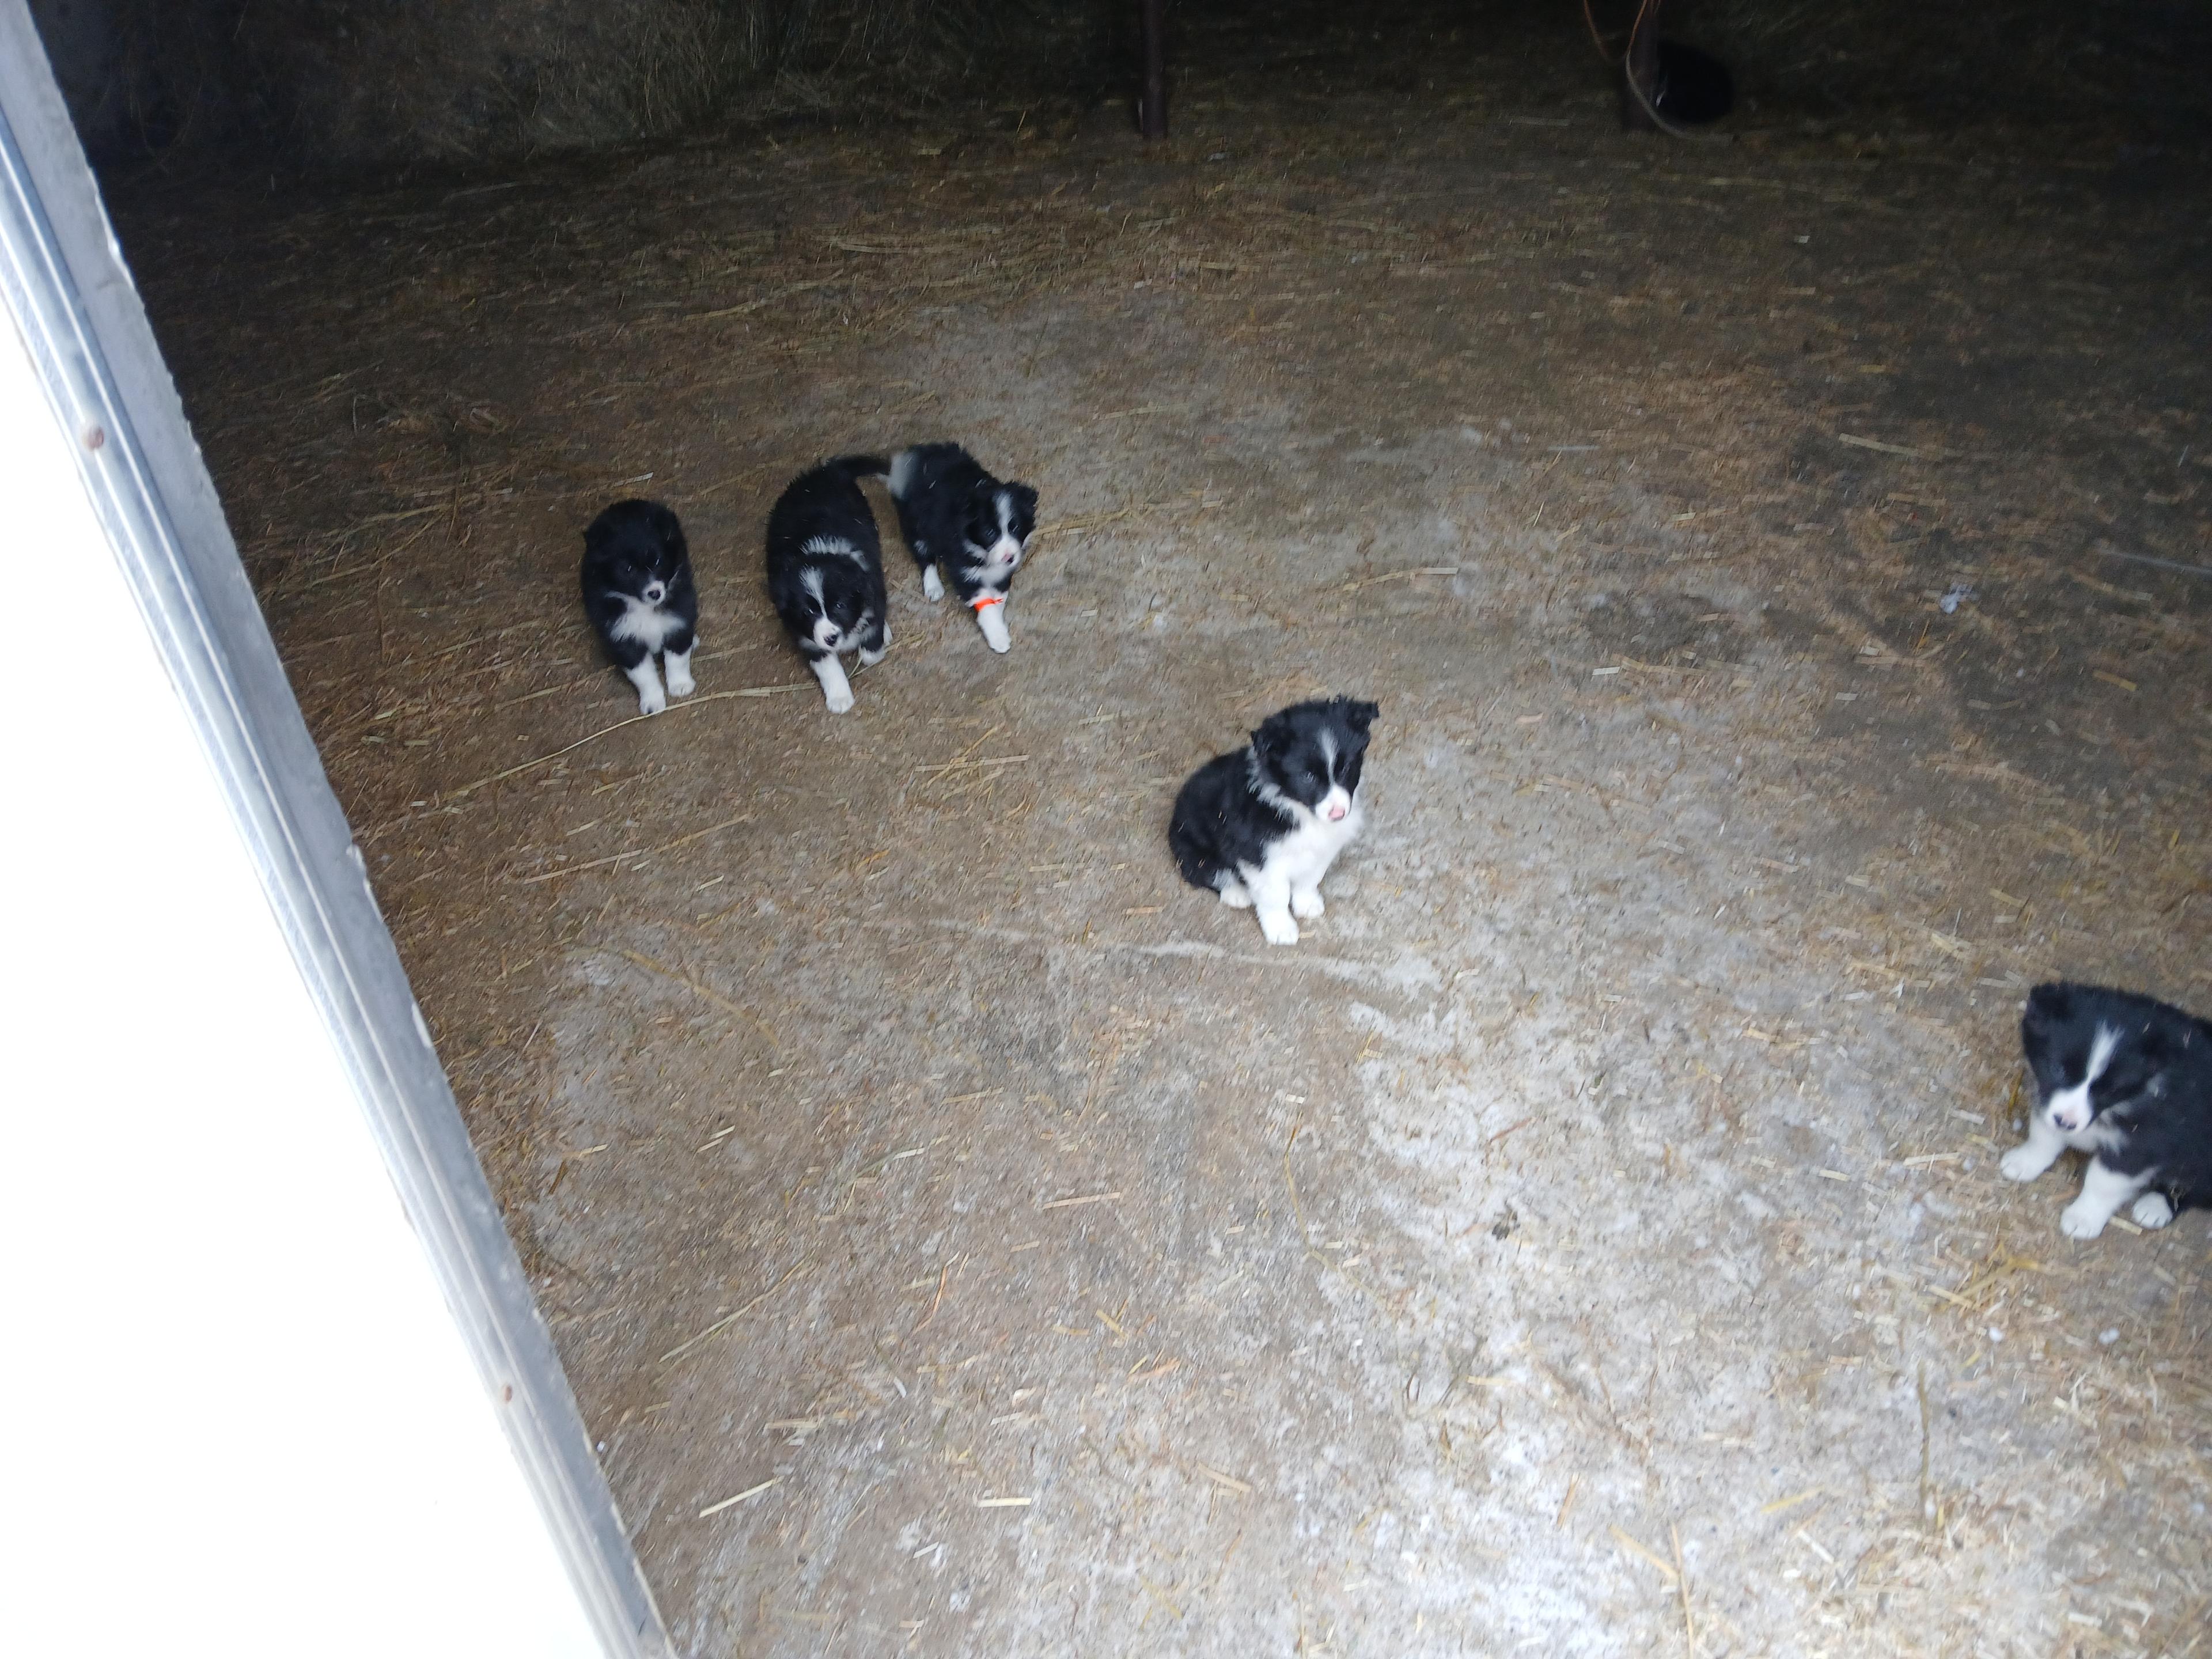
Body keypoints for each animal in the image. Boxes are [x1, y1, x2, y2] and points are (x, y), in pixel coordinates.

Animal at [579, 504, 699, 717]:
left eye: (658, 561)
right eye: (628, 569)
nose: (655, 593)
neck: (644, 608)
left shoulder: (678, 619)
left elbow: (677, 659)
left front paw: (681, 685)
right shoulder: (623, 638)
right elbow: (643, 674)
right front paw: (653, 702)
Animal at [765, 456, 893, 717]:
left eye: (841, 605)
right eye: (807, 611)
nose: (832, 639)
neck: (819, 549)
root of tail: (822, 472)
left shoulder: (874, 587)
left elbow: (871, 642)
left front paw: (873, 646)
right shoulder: (806, 635)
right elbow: (827, 666)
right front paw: (840, 697)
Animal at [880, 442, 1035, 654]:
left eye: (1016, 528)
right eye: (989, 533)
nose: (1009, 558)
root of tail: (919, 451)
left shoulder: (1003, 573)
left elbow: (998, 598)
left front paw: (999, 625)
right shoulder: (964, 570)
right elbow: (985, 602)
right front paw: (997, 636)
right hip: (914, 525)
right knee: (924, 556)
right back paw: (933, 586)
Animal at [1168, 699, 1371, 946]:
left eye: (1346, 768)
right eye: (1308, 776)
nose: (1338, 814)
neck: (1297, 807)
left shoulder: (1323, 848)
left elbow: (1311, 878)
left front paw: (1307, 904)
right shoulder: (1259, 856)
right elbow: (1276, 895)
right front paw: (1281, 929)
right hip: (1192, 849)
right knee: (1206, 873)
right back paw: (1237, 894)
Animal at [2008, 982, 2212, 1238]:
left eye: (2111, 1089)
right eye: (2058, 1069)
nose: (2066, 1122)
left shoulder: (2143, 1142)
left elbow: (2103, 1182)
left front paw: (2084, 1217)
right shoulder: (2047, 1099)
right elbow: (2044, 1135)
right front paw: (2025, 1161)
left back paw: (2156, 1205)